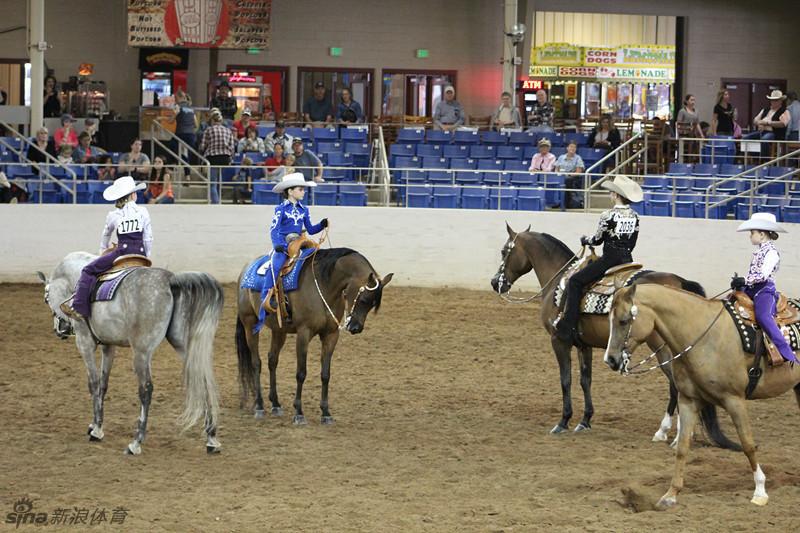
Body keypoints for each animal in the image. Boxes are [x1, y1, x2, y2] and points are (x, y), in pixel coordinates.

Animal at [38, 252, 225, 454]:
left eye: (46, 299)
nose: (60, 330)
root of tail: (170, 280)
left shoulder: (84, 343)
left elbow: (93, 383)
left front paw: (96, 430)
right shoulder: (108, 347)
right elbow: (103, 384)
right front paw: (96, 424)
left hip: (141, 353)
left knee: (146, 389)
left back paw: (136, 442)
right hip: (182, 346)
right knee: (201, 380)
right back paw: (211, 438)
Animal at [236, 246, 392, 424]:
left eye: (373, 304)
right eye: (364, 299)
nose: (355, 328)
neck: (325, 286)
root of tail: (245, 269)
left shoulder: (331, 335)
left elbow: (325, 374)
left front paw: (325, 413)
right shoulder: (304, 333)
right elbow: (301, 373)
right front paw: (299, 412)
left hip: (279, 330)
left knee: (272, 360)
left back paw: (275, 404)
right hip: (250, 324)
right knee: (256, 363)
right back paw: (259, 406)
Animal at [488, 223, 736, 448]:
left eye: (504, 251)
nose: (494, 282)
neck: (559, 282)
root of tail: (679, 281)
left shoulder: (559, 341)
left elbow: (565, 380)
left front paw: (563, 422)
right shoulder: (583, 344)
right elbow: (585, 380)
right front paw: (585, 421)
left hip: (663, 348)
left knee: (676, 385)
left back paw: (671, 435)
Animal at [608, 282, 800, 508]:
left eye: (623, 320)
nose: (610, 360)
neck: (704, 336)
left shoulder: (735, 400)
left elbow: (748, 445)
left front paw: (760, 491)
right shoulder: (688, 401)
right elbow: (682, 447)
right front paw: (670, 495)